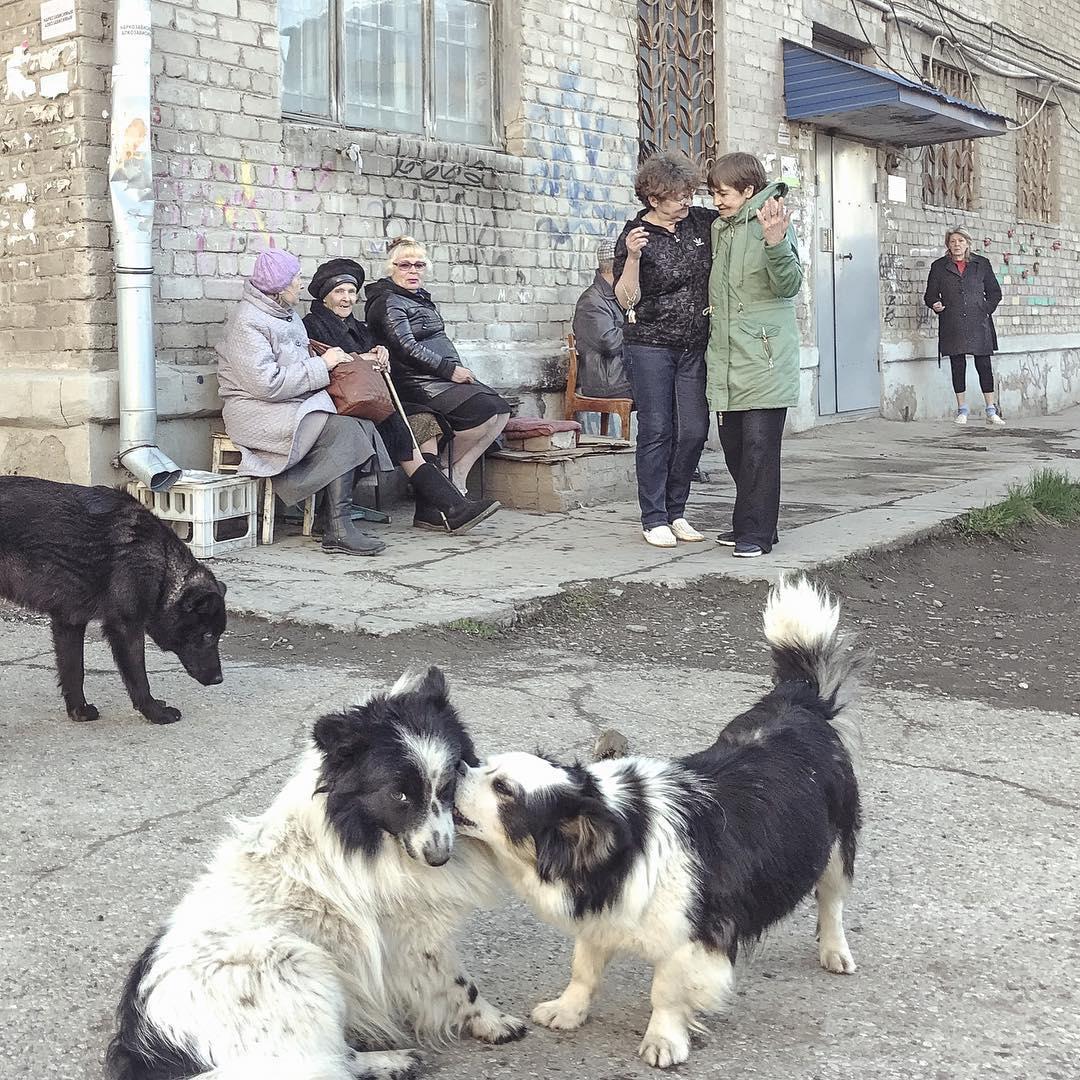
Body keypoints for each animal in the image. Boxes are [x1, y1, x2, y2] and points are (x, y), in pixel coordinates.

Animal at [0, 475, 225, 721]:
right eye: (208, 635)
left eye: (217, 635)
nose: (219, 679)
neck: (162, 564)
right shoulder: (126, 629)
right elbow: (139, 678)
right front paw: (154, 712)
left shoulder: (69, 623)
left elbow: (74, 671)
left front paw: (79, 710)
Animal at [455, 578, 868, 1067]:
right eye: (486, 766)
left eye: (504, 789)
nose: (454, 766)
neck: (622, 835)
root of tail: (799, 702)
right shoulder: (603, 912)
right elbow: (583, 969)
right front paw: (569, 1011)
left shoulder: (691, 942)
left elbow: (666, 993)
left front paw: (663, 1039)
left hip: (837, 849)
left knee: (832, 902)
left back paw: (834, 950)